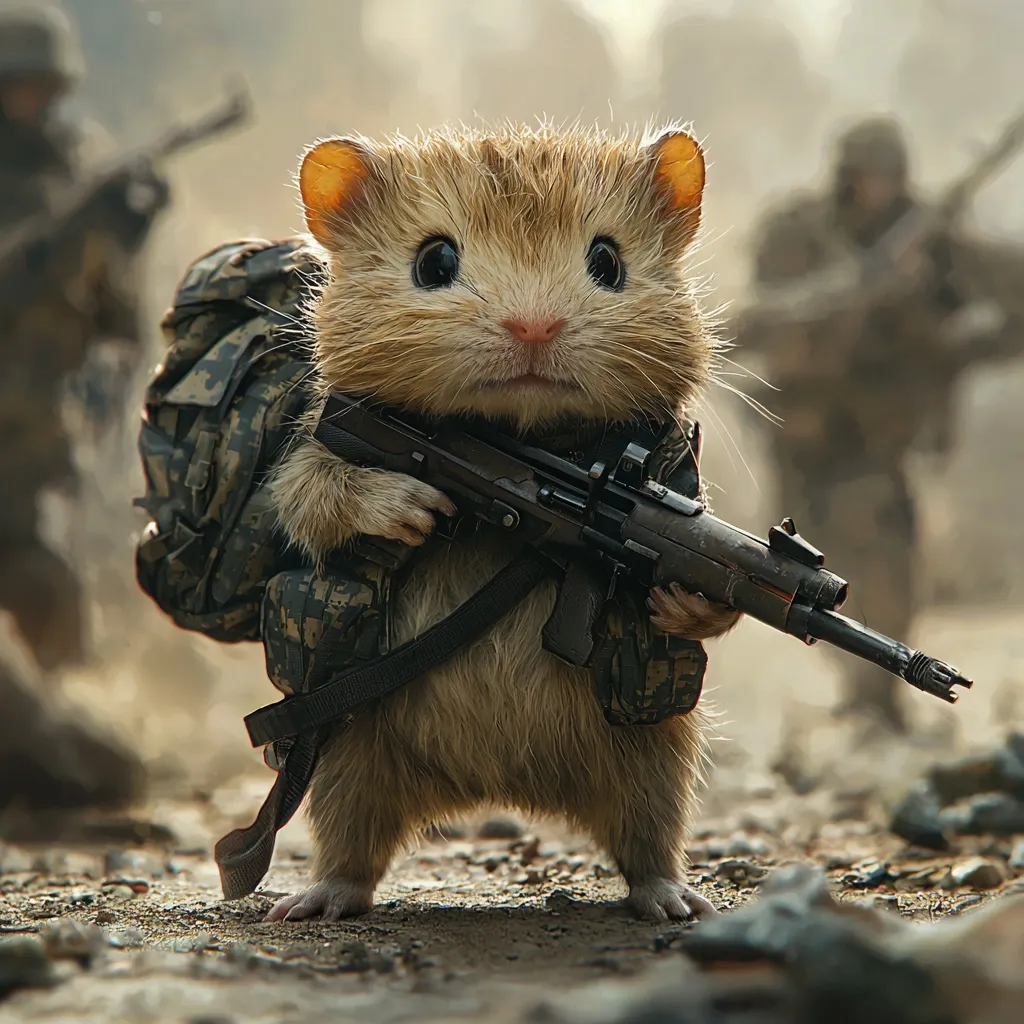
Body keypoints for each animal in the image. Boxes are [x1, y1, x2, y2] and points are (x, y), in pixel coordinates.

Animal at [266, 123, 740, 923]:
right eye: (434, 261)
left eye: (608, 260)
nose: (534, 328)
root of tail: (496, 790)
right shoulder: (313, 452)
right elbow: (315, 499)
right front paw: (413, 508)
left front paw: (685, 599)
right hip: (344, 755)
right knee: (349, 845)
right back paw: (313, 902)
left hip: (659, 755)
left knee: (648, 838)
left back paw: (675, 900)